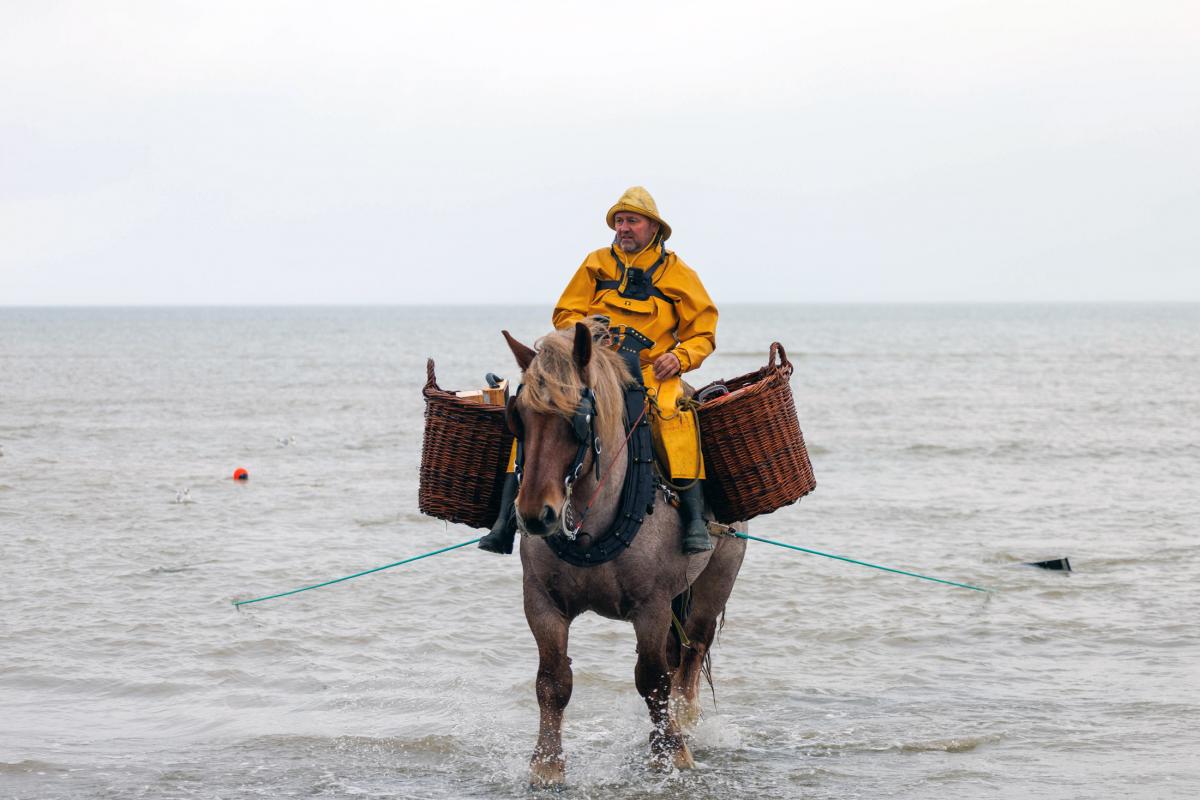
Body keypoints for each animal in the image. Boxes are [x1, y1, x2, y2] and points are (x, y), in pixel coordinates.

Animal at [501, 321, 744, 786]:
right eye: (518, 416)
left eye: (579, 419)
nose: (537, 515)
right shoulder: (541, 603)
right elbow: (552, 682)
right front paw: (547, 764)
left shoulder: (651, 606)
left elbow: (653, 680)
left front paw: (673, 753)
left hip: (715, 581)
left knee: (691, 653)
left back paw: (686, 722)